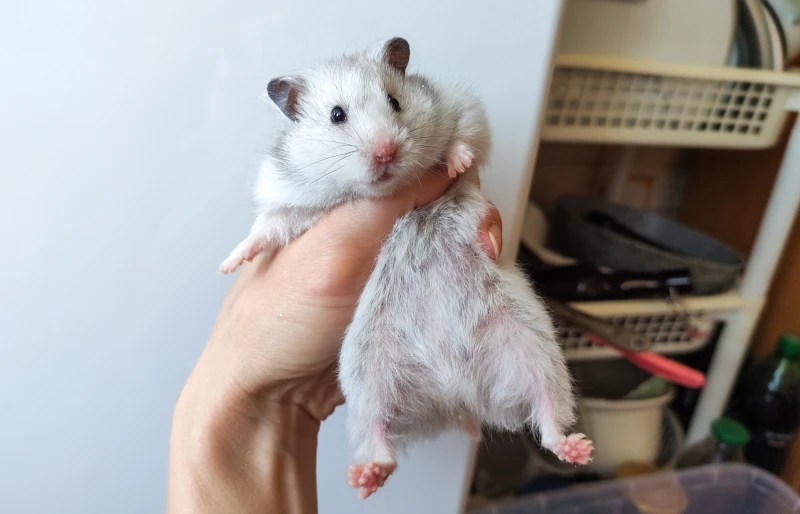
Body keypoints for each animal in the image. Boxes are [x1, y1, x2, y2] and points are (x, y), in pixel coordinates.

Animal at [219, 38, 592, 498]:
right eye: (336, 115)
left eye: (395, 101)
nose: (386, 150)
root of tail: (460, 398)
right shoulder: (289, 197)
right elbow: (268, 228)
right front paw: (230, 264)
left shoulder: (465, 109)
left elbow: (466, 139)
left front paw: (454, 163)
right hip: (368, 377)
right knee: (380, 437)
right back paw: (365, 477)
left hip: (534, 347)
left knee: (548, 413)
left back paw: (578, 449)